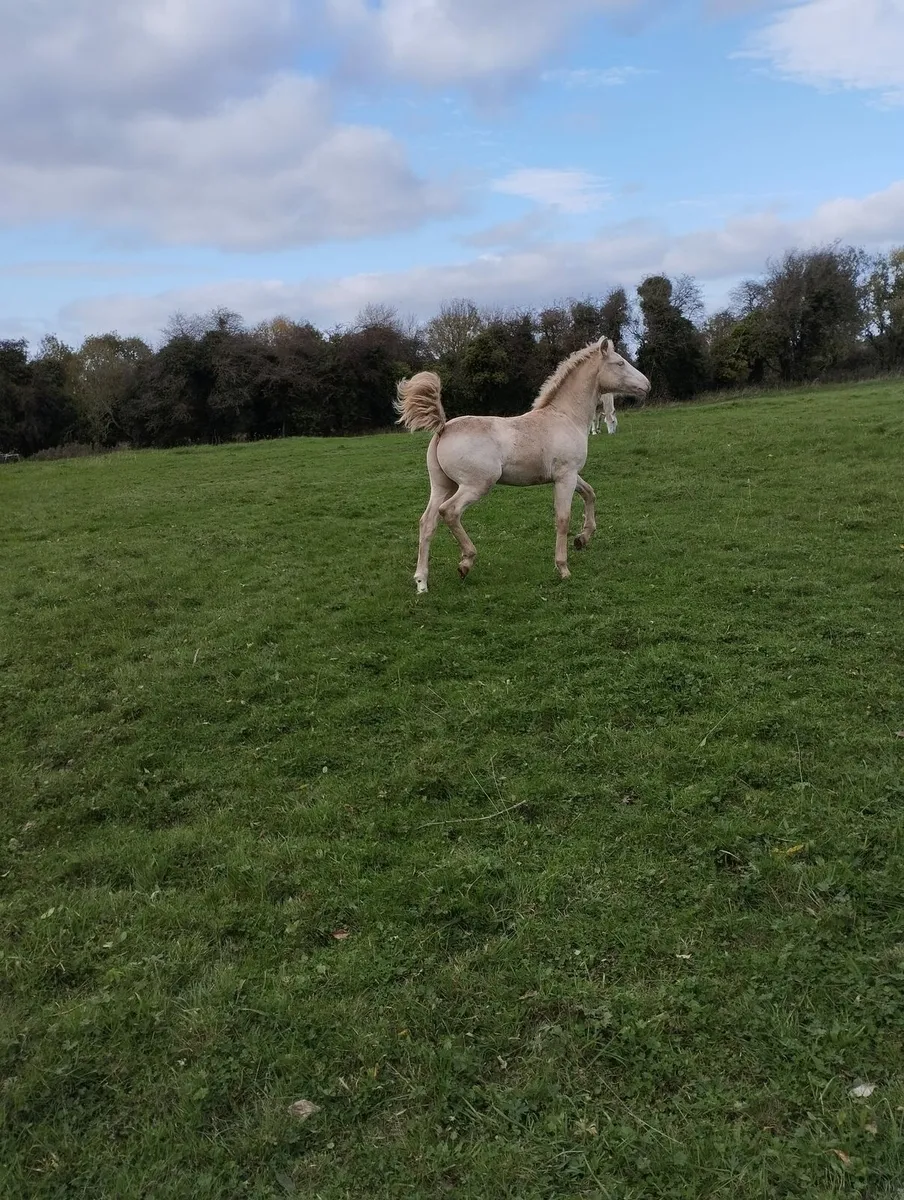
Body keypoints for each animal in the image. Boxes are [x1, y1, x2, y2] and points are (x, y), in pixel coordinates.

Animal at [394, 337, 650, 593]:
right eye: (619, 363)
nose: (647, 385)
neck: (566, 416)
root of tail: (443, 428)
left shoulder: (571, 474)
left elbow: (590, 494)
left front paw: (582, 538)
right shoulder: (565, 477)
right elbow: (563, 518)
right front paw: (563, 568)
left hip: (442, 485)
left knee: (427, 523)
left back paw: (422, 582)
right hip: (476, 485)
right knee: (449, 511)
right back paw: (466, 562)